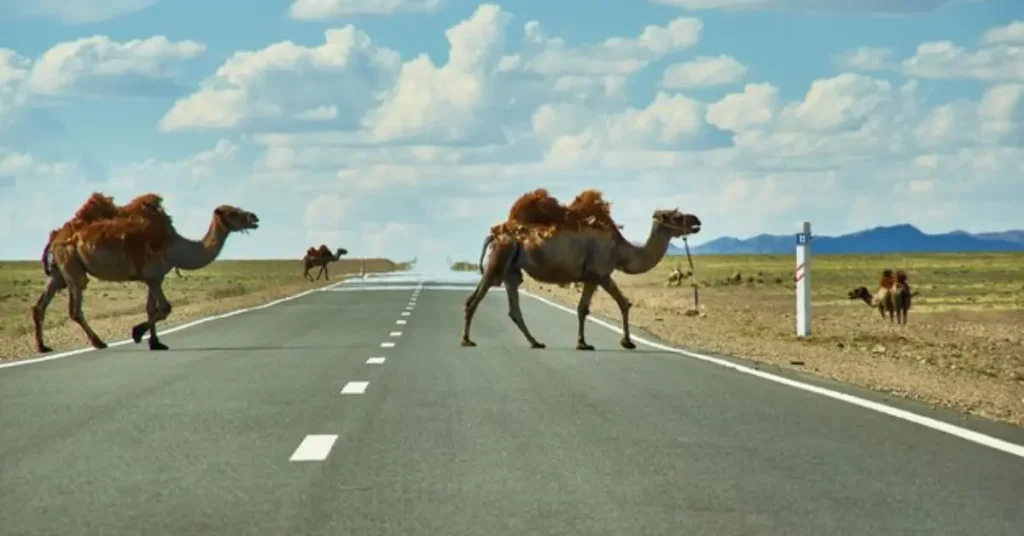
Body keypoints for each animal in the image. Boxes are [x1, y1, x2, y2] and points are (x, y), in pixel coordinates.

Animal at [32, 191, 260, 352]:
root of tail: (55, 237)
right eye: (232, 212)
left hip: (58, 272)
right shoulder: (153, 276)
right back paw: (99, 342)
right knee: (75, 307)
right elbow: (165, 308)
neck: (175, 246)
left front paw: (156, 343)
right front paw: (136, 333)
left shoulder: (153, 278)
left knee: (40, 305)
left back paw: (43, 347)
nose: (254, 217)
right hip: (71, 264)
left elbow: (151, 309)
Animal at [464, 188, 704, 352]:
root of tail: (495, 233)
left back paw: (536, 342)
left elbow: (624, 303)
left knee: (513, 308)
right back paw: (466, 340)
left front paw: (627, 341)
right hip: (498, 260)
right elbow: (582, 309)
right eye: (677, 217)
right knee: (474, 299)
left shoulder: (604, 275)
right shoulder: (595, 274)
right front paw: (583, 343)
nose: (697, 220)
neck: (620, 249)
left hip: (511, 270)